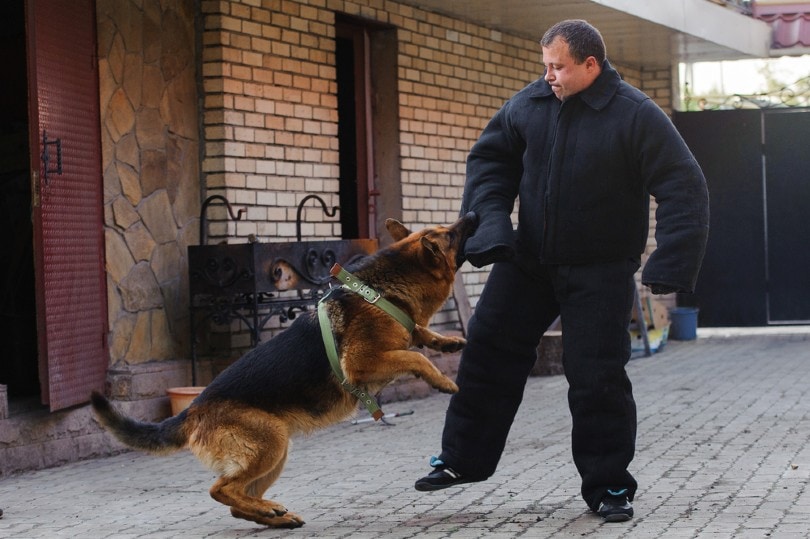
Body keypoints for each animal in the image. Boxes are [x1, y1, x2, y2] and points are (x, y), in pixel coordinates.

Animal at [91, 213, 476, 528]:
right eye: (450, 235)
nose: (472, 213)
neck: (382, 292)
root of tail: (192, 410)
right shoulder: (362, 362)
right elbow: (416, 358)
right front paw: (443, 380)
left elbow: (419, 335)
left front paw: (447, 341)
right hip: (271, 442)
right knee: (221, 489)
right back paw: (268, 510)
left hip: (275, 452)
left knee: (237, 501)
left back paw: (273, 514)